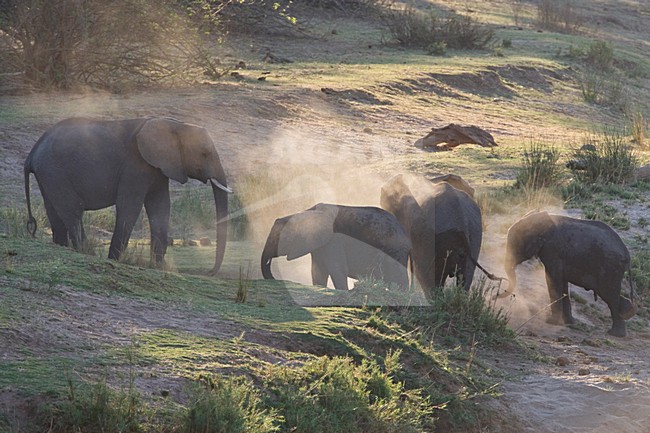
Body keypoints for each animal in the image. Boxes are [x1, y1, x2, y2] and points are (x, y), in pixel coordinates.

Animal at [24, 117, 231, 274]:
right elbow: (130, 206)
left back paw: (63, 247)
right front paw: (114, 260)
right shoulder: (135, 165)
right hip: (54, 170)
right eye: (205, 153)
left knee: (55, 212)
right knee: (73, 211)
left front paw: (159, 266)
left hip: (48, 174)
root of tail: (32, 153)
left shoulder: (158, 168)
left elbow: (161, 206)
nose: (209, 273)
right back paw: (86, 251)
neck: (174, 124)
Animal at [261, 203, 411, 291]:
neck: (304, 212)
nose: (275, 279)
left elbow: (337, 269)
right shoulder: (319, 244)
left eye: (280, 239)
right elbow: (318, 271)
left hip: (395, 250)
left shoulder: (334, 241)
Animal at [498, 210, 636, 337]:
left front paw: (552, 322)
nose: (496, 295)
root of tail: (627, 255)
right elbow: (562, 283)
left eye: (515, 247)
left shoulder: (553, 250)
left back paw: (616, 333)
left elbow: (553, 279)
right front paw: (569, 323)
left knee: (609, 295)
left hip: (610, 268)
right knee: (612, 295)